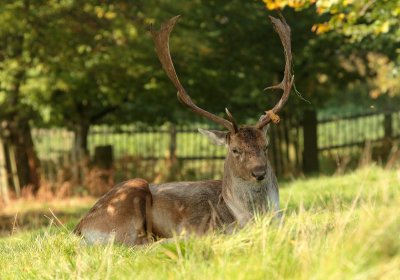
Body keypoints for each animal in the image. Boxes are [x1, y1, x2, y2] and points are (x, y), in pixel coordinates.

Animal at [74, 14, 294, 245]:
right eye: (235, 149)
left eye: (266, 146)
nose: (259, 172)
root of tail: (79, 228)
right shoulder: (204, 225)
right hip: (129, 200)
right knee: (134, 244)